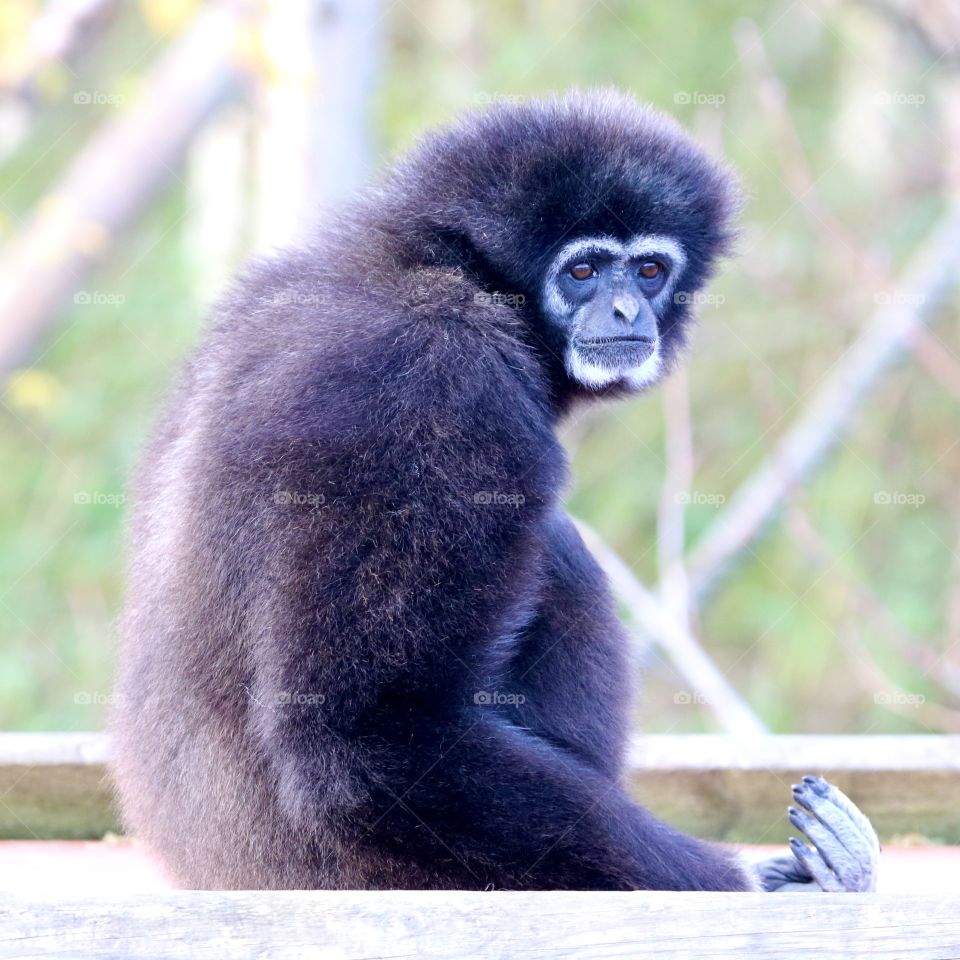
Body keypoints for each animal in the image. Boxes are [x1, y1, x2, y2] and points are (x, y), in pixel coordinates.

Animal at [110, 89, 879, 892]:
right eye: (582, 272)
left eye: (647, 270)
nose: (627, 312)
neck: (438, 272)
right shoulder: (436, 385)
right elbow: (369, 733)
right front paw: (757, 885)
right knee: (559, 550)